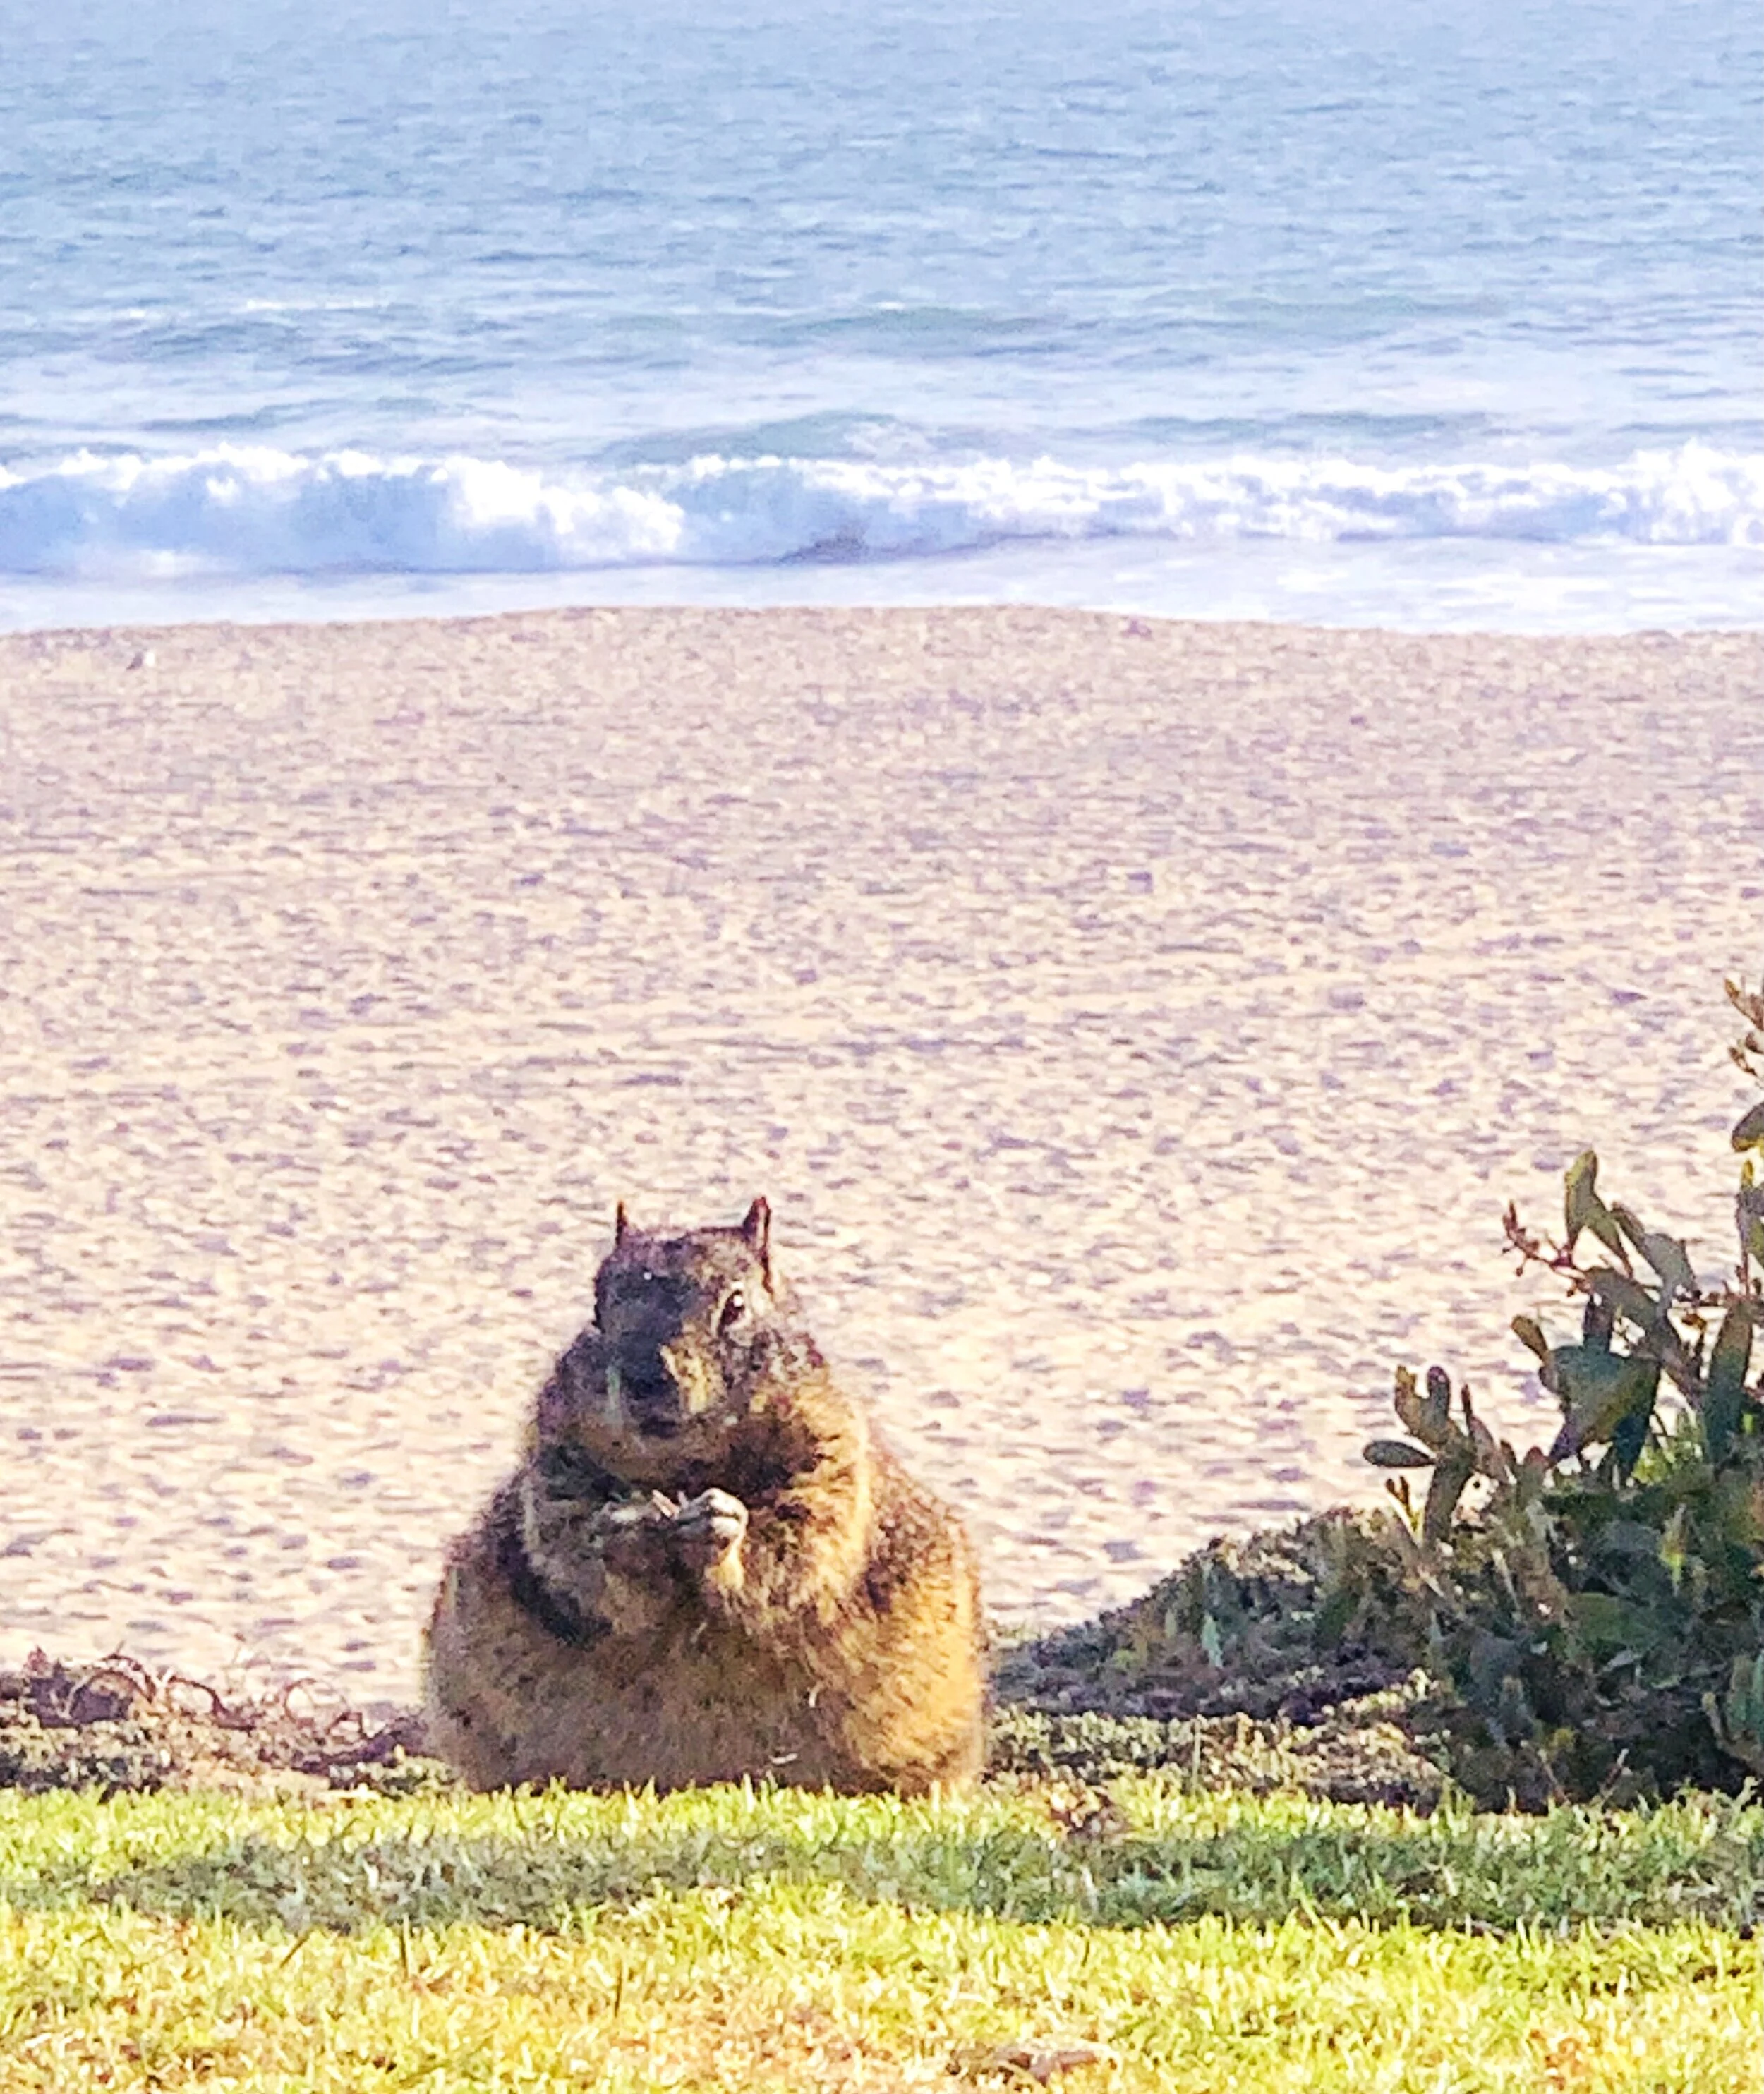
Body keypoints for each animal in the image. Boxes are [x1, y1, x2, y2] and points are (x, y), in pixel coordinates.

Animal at [423, 1198, 986, 1794]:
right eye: (597, 1310)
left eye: (736, 1306)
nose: (645, 1376)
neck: (685, 1467)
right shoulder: (555, 1465)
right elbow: (572, 1552)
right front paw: (626, 1533)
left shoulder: (827, 1460)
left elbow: (799, 1543)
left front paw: (721, 1527)